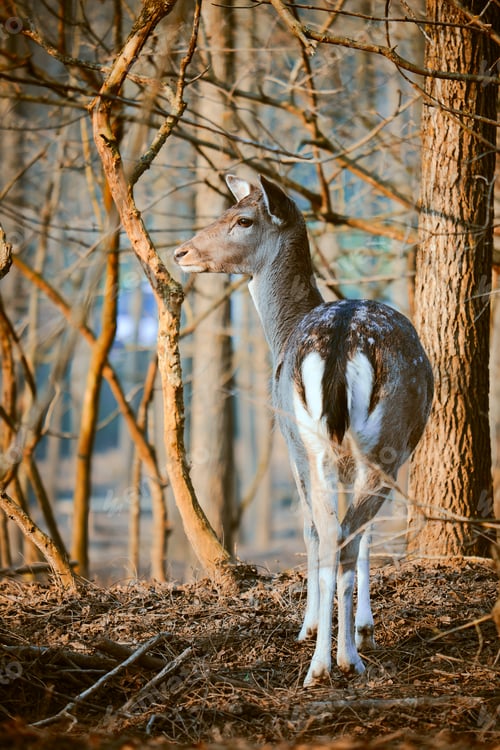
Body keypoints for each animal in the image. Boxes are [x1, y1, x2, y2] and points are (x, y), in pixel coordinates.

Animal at [174, 175, 434, 686]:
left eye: (243, 219)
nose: (181, 251)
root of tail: (341, 339)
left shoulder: (291, 444)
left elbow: (313, 531)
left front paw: (311, 626)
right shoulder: (346, 459)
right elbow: (364, 535)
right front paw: (365, 628)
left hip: (322, 442)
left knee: (331, 532)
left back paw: (329, 662)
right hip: (378, 447)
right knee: (348, 532)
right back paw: (343, 655)